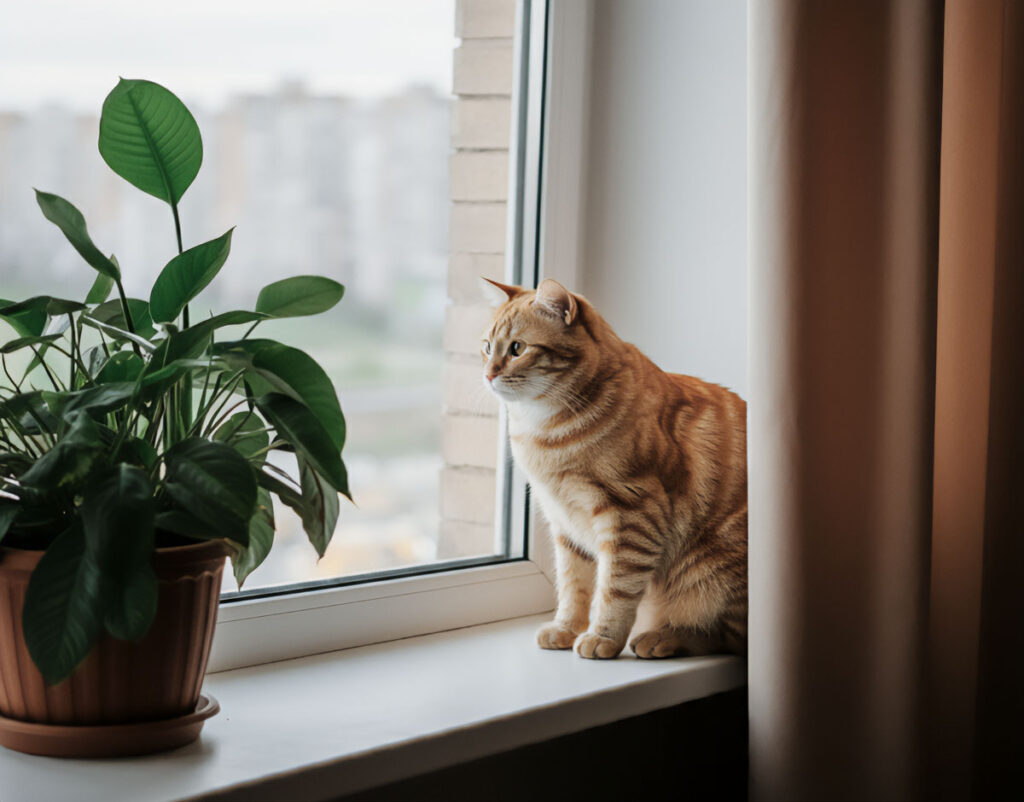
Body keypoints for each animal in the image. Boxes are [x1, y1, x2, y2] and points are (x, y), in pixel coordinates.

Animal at [479, 278, 753, 663]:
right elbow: (573, 585)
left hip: (715, 567)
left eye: (517, 348)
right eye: (487, 347)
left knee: (726, 635)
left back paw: (665, 636)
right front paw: (566, 628)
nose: (488, 374)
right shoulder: (565, 524)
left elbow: (615, 588)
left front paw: (603, 636)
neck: (544, 430)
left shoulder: (633, 516)